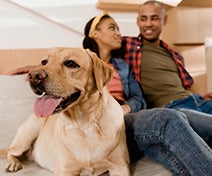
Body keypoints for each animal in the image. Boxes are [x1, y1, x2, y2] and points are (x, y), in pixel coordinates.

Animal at [0, 47, 131, 175]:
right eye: (44, 62)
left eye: (71, 63)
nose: (33, 75)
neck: (84, 125)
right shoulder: (64, 170)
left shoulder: (120, 166)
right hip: (28, 133)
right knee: (11, 152)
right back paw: (13, 163)